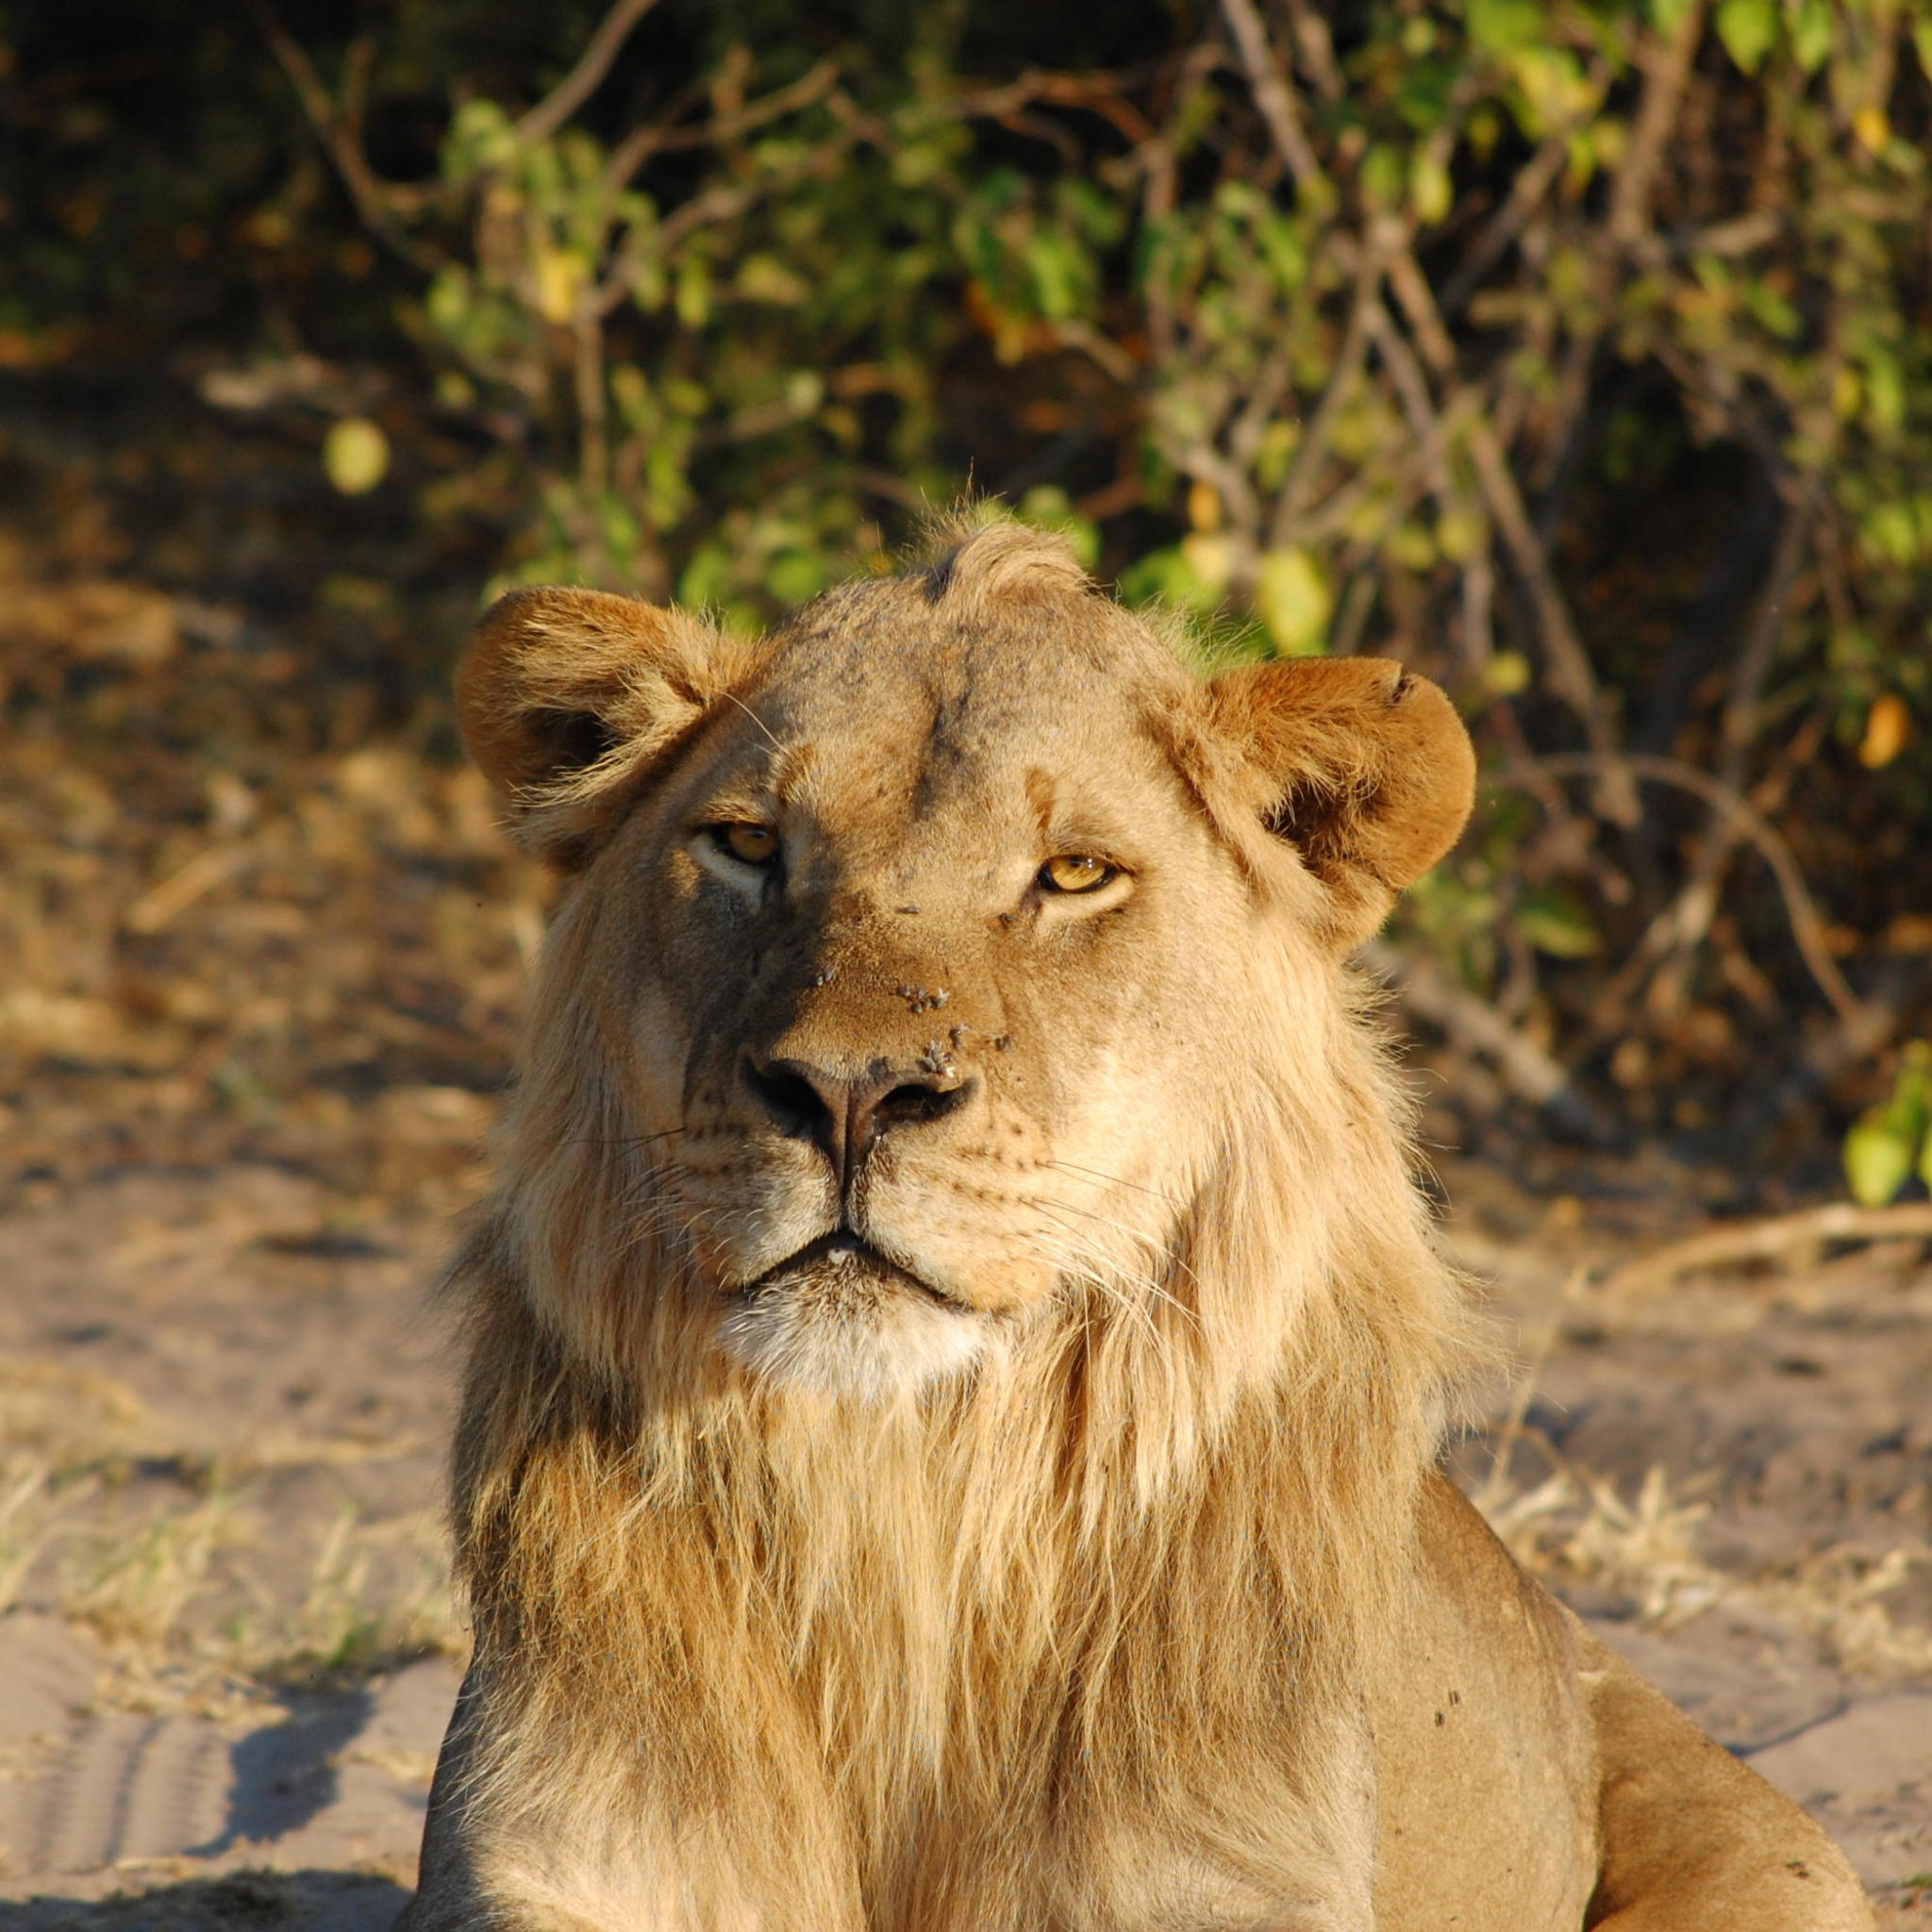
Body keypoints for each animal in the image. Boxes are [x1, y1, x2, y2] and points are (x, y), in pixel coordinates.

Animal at [406, 520, 1872, 1931]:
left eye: (1073, 874)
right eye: (750, 846)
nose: (848, 1091)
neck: (907, 1502)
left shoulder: (1234, 1873)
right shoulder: (548, 1847)